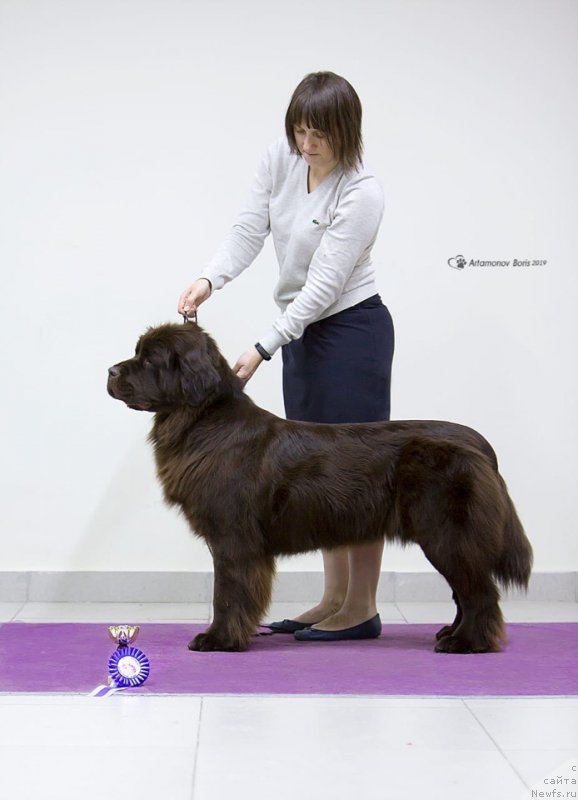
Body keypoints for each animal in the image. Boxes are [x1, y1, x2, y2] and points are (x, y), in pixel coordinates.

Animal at [108, 322, 532, 652]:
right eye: (138, 352)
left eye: (150, 359)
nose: (110, 370)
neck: (201, 420)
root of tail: (478, 443)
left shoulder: (233, 537)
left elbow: (227, 592)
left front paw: (218, 639)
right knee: (466, 591)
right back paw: (451, 633)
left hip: (446, 531)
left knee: (479, 591)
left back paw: (467, 643)